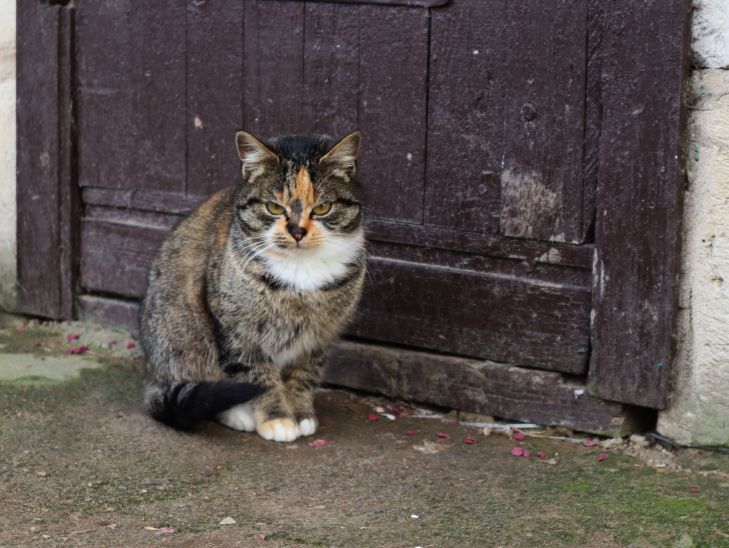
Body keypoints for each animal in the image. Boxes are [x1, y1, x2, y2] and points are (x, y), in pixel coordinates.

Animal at [139, 132, 366, 440]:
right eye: (274, 207)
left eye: (322, 208)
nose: (297, 232)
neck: (301, 274)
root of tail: (152, 376)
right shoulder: (237, 330)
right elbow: (257, 377)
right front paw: (278, 420)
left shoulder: (319, 336)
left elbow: (304, 374)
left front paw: (301, 414)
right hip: (184, 339)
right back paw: (238, 414)